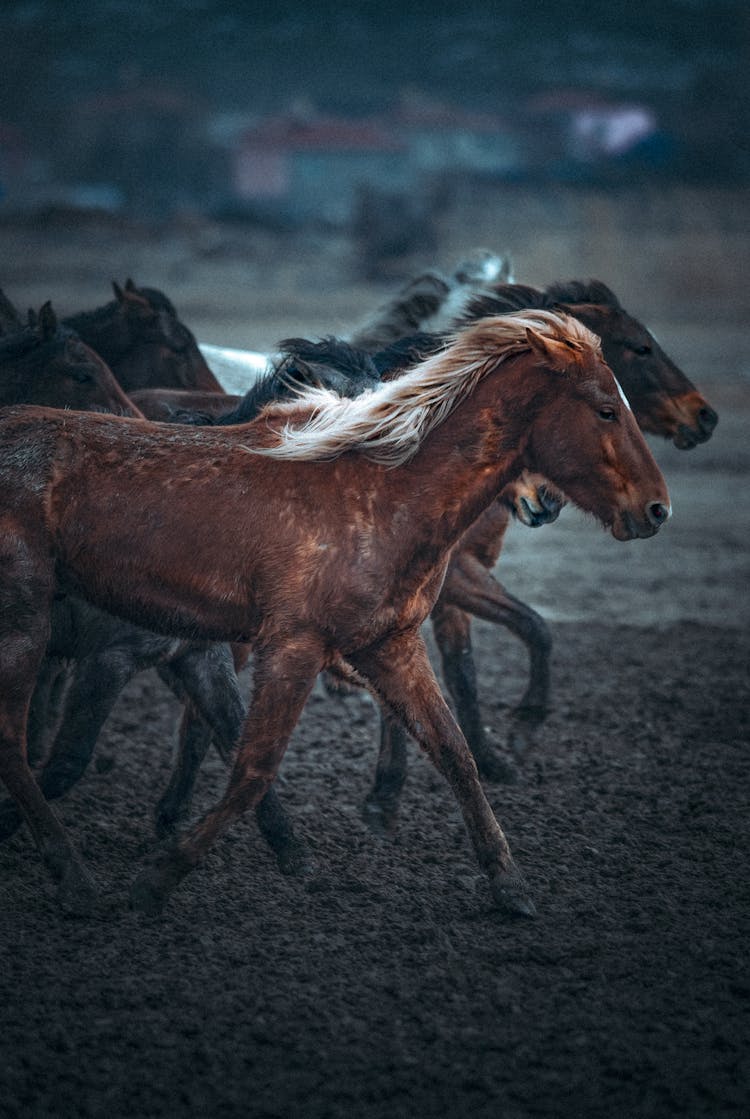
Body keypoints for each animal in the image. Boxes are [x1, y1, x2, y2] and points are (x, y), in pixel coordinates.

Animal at [0, 308, 671, 917]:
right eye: (606, 410)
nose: (656, 509)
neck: (383, 494)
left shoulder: (389, 645)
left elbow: (454, 753)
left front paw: (510, 887)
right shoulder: (289, 647)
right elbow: (252, 768)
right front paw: (158, 880)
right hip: (24, 626)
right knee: (14, 743)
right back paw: (77, 882)